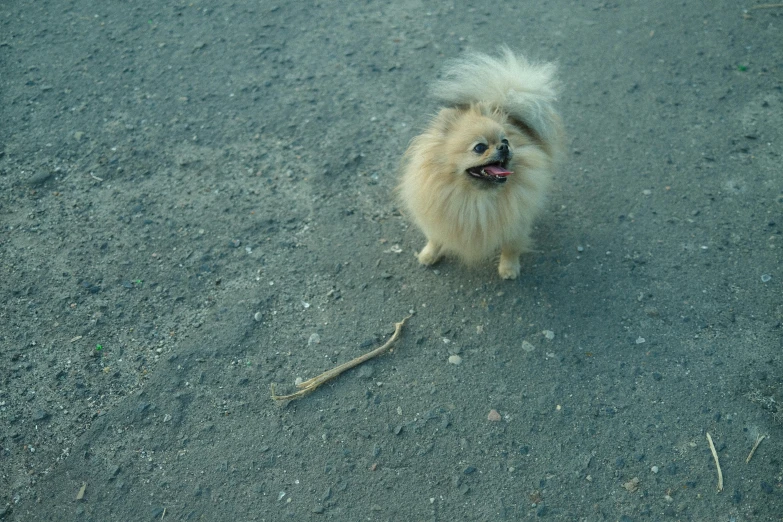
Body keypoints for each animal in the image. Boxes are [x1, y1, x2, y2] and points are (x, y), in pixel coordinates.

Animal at [398, 46, 564, 278]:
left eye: (506, 141)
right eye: (479, 147)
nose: (504, 147)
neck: (476, 198)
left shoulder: (516, 224)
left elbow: (511, 247)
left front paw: (509, 268)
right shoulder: (439, 217)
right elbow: (436, 237)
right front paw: (429, 254)